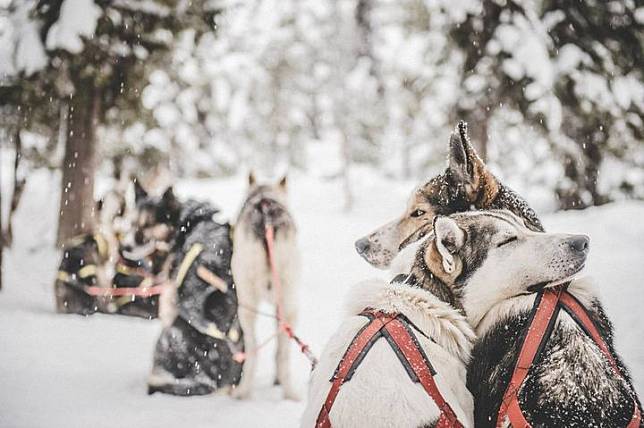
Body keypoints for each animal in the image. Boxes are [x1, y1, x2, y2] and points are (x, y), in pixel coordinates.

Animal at [233, 172, 300, 400]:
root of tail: (266, 220)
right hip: (287, 303)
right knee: (283, 353)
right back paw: (287, 390)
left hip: (247, 305)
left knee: (254, 347)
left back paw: (244, 390)